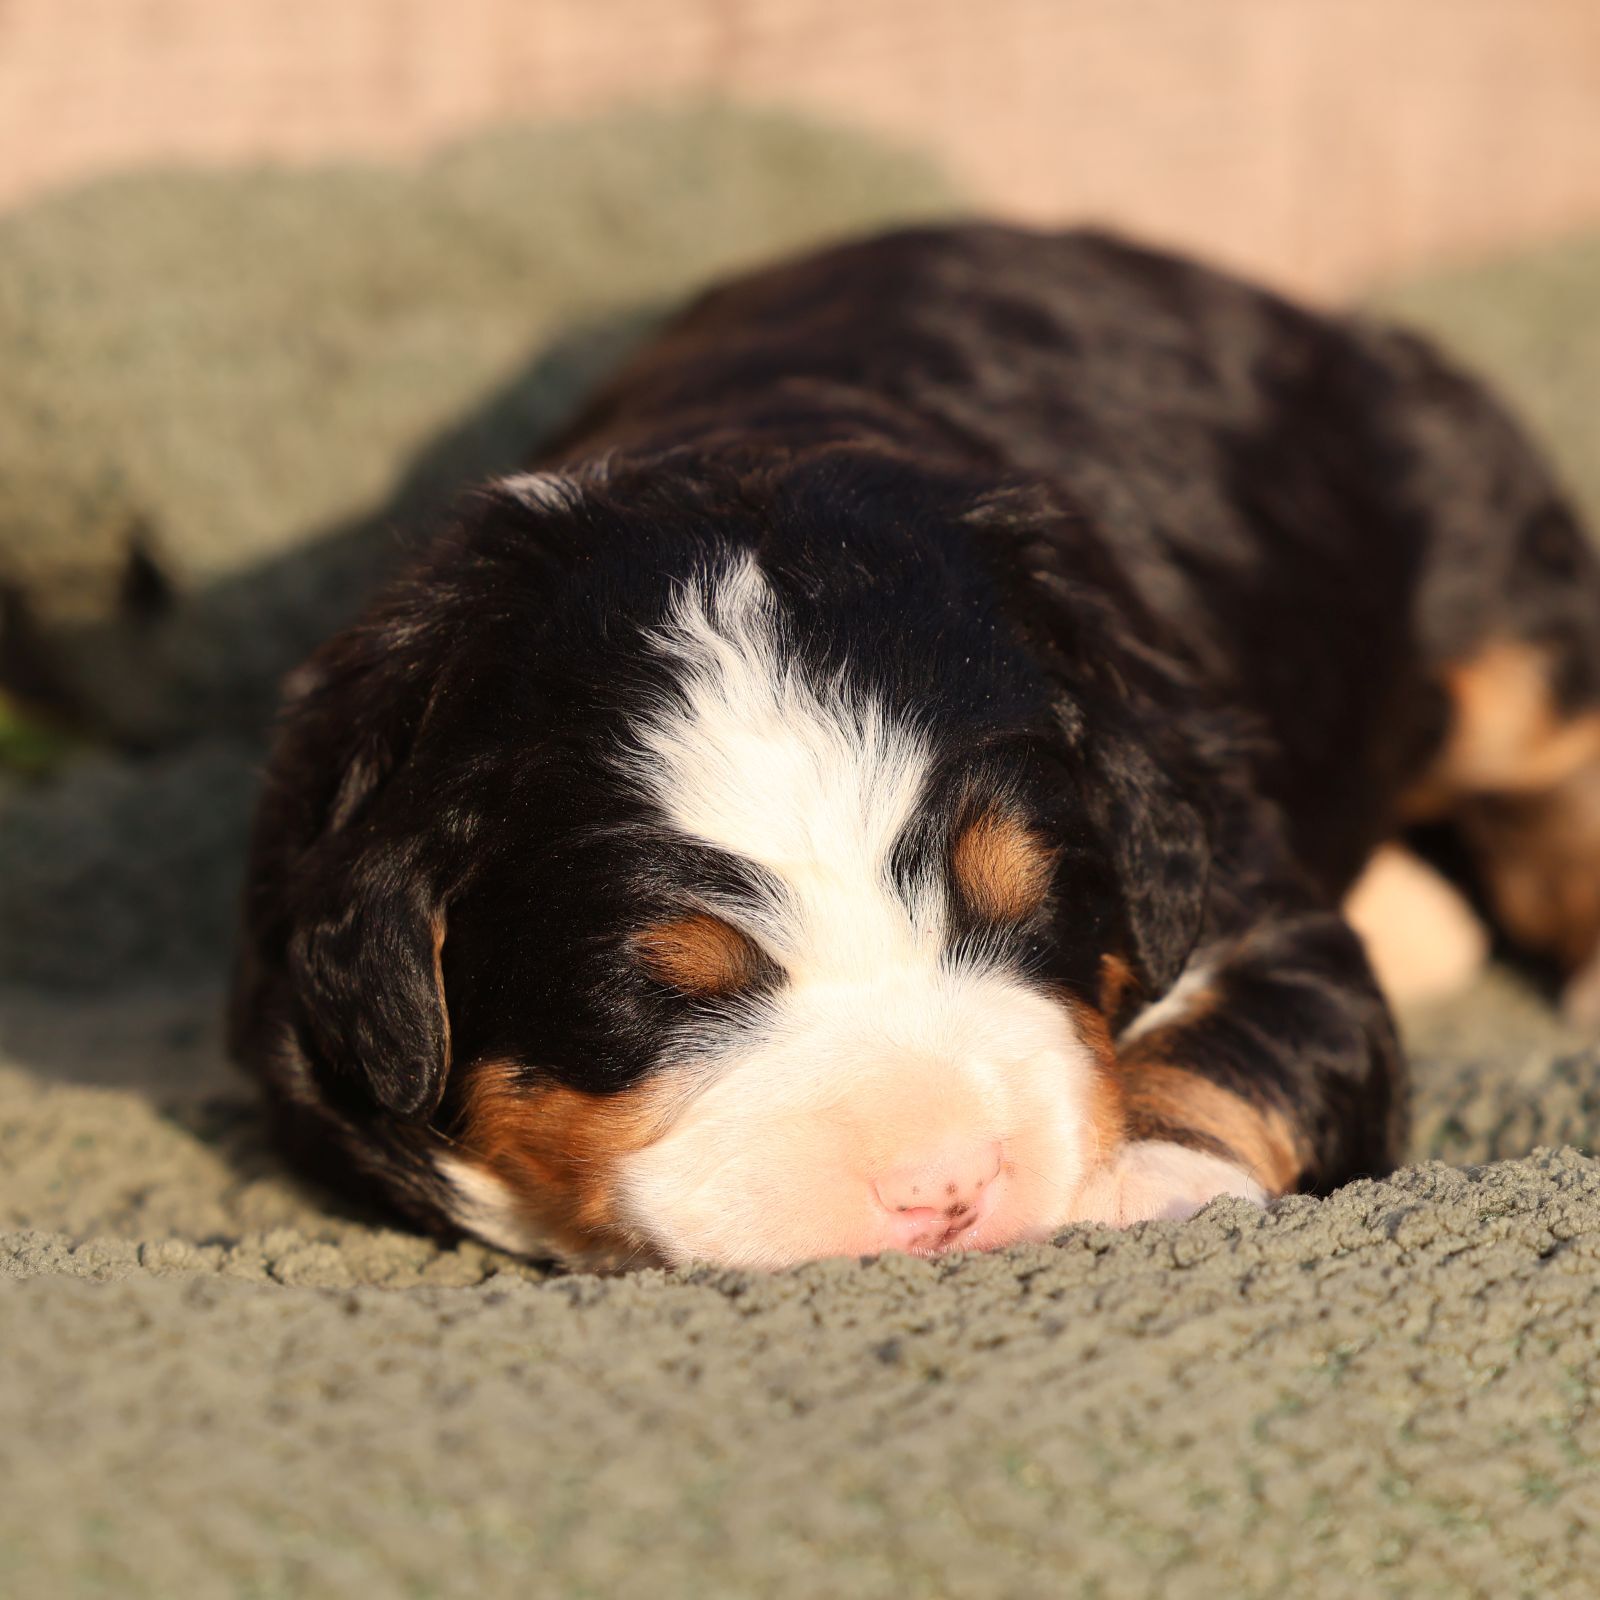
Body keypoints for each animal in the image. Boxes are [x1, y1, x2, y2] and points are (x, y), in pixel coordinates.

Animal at [230, 224, 1600, 1271]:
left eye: (1029, 905)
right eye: (664, 985)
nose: (942, 1183)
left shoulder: (1236, 875)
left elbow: (1255, 1036)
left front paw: (1133, 1181)